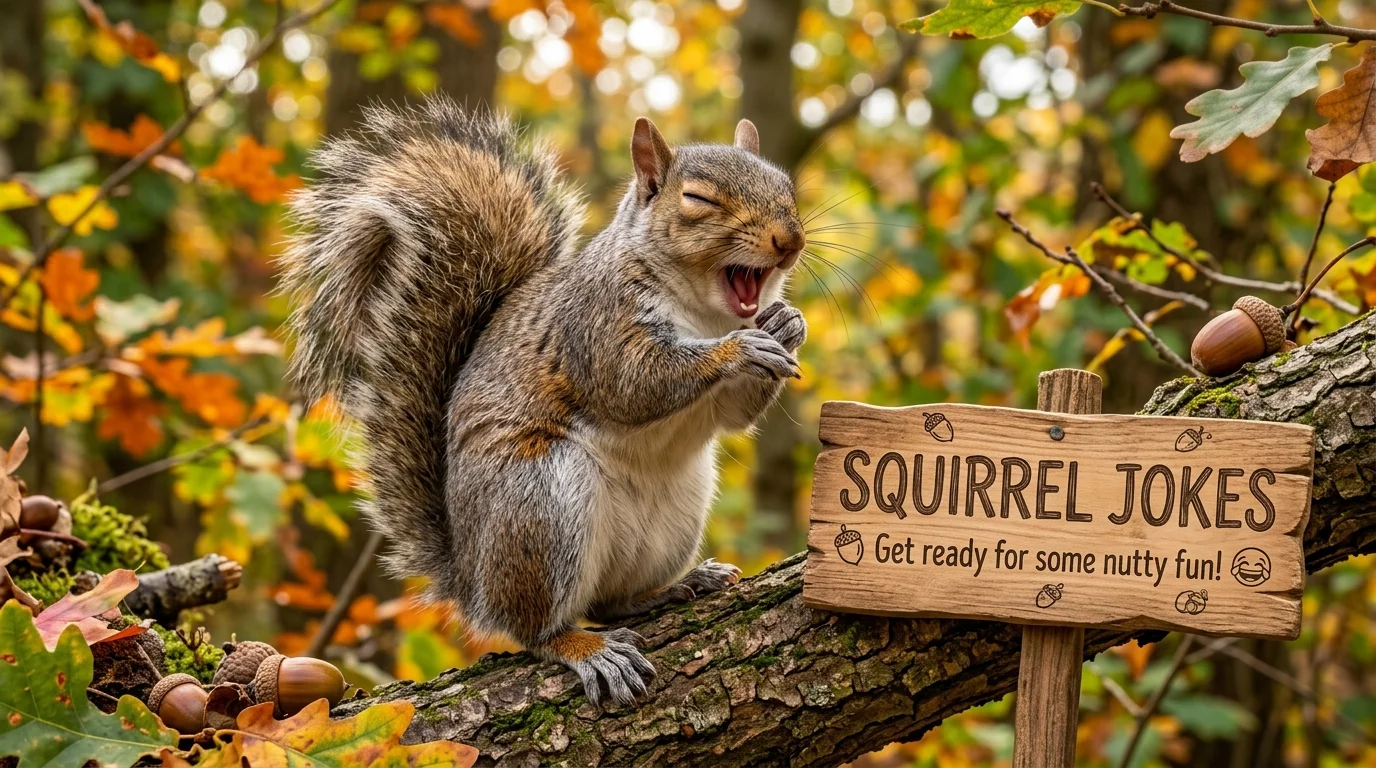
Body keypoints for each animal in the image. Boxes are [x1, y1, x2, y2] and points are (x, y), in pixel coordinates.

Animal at [281, 96, 807, 707]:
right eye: (698, 199)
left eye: (787, 189)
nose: (790, 242)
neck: (706, 314)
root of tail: (474, 582)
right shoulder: (595, 325)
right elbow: (633, 383)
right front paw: (737, 349)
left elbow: (733, 414)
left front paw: (787, 323)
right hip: (541, 500)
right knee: (536, 628)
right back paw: (585, 648)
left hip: (674, 515)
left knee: (609, 601)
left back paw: (676, 585)